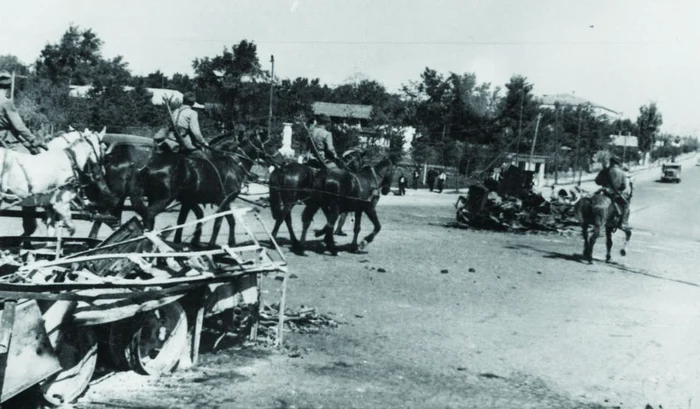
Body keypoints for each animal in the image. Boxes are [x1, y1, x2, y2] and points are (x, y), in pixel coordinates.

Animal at [141, 133, 284, 245]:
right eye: (270, 144)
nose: (282, 161)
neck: (235, 164)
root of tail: (149, 166)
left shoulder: (190, 201)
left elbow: (185, 220)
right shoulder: (224, 201)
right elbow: (221, 222)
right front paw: (214, 243)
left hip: (153, 198)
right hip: (164, 199)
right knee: (149, 214)